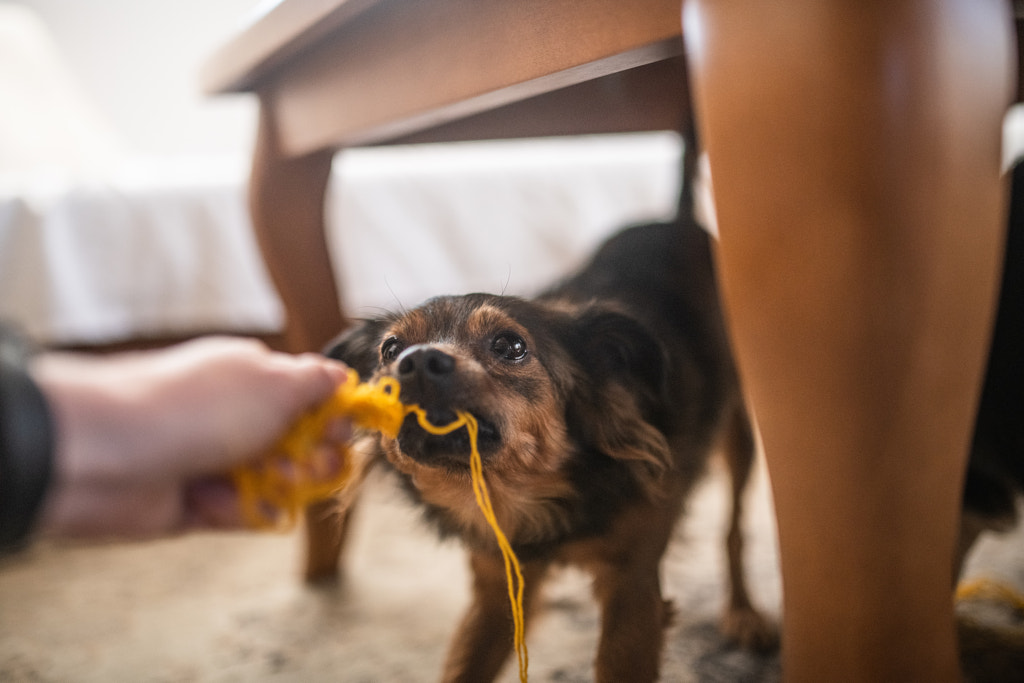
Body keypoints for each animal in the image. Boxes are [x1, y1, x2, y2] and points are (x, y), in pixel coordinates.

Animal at [323, 137, 770, 679]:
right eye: (390, 350)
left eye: (510, 346)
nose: (416, 363)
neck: (526, 498)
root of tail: (676, 217)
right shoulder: (493, 592)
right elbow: (466, 662)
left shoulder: (633, 592)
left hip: (739, 429)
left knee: (734, 528)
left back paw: (744, 612)